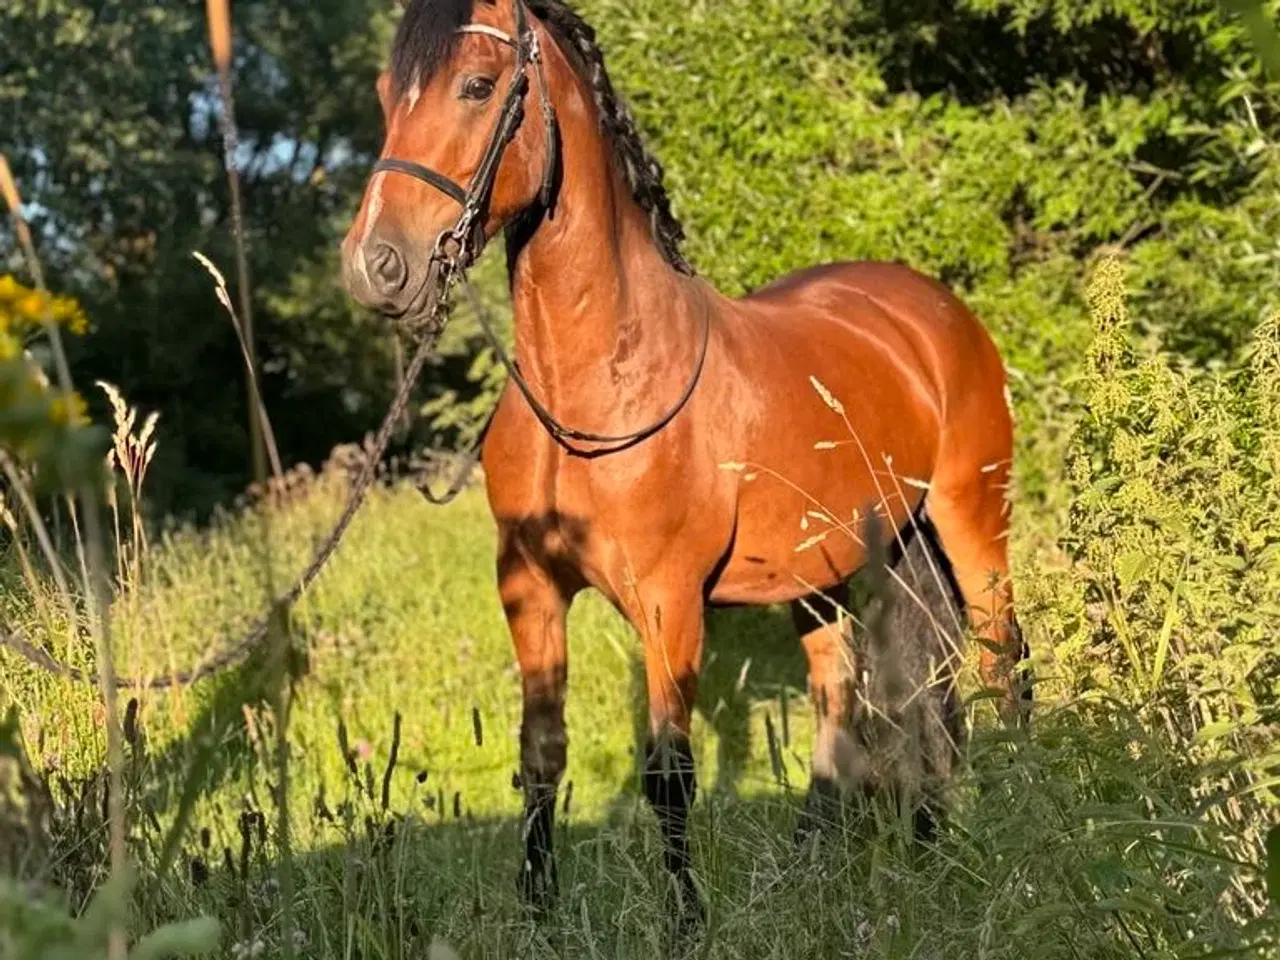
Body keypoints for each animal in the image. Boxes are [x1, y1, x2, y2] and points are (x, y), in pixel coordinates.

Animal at [343, 0, 1029, 931]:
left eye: (478, 86)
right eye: (387, 93)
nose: (375, 267)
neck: (599, 382)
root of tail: (932, 313)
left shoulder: (669, 600)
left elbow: (669, 772)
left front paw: (685, 918)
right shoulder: (529, 588)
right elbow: (541, 753)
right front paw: (538, 911)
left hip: (968, 521)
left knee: (997, 663)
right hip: (839, 567)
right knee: (861, 697)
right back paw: (846, 857)